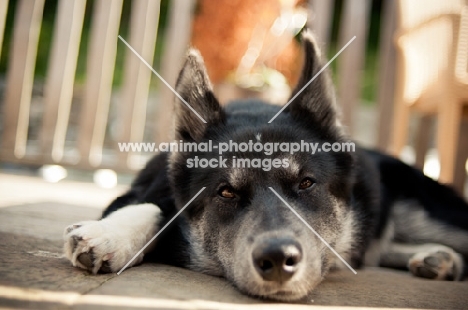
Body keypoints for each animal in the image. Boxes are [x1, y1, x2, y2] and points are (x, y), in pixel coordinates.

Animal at [63, 30, 468, 300]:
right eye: (226, 192)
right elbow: (151, 207)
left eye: (306, 183)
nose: (278, 259)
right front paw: (111, 233)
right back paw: (435, 257)